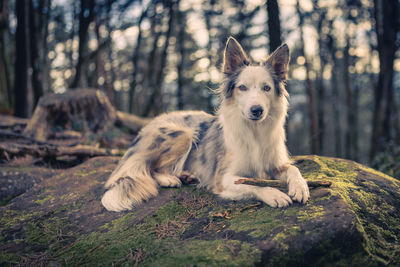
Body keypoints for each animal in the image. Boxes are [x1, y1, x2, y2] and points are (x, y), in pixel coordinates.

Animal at [101, 36, 310, 213]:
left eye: (266, 88)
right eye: (242, 87)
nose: (257, 110)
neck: (255, 132)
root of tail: (149, 124)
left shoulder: (276, 164)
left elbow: (293, 168)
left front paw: (300, 186)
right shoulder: (222, 178)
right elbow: (251, 183)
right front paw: (274, 194)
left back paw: (186, 175)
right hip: (183, 134)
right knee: (149, 168)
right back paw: (169, 179)